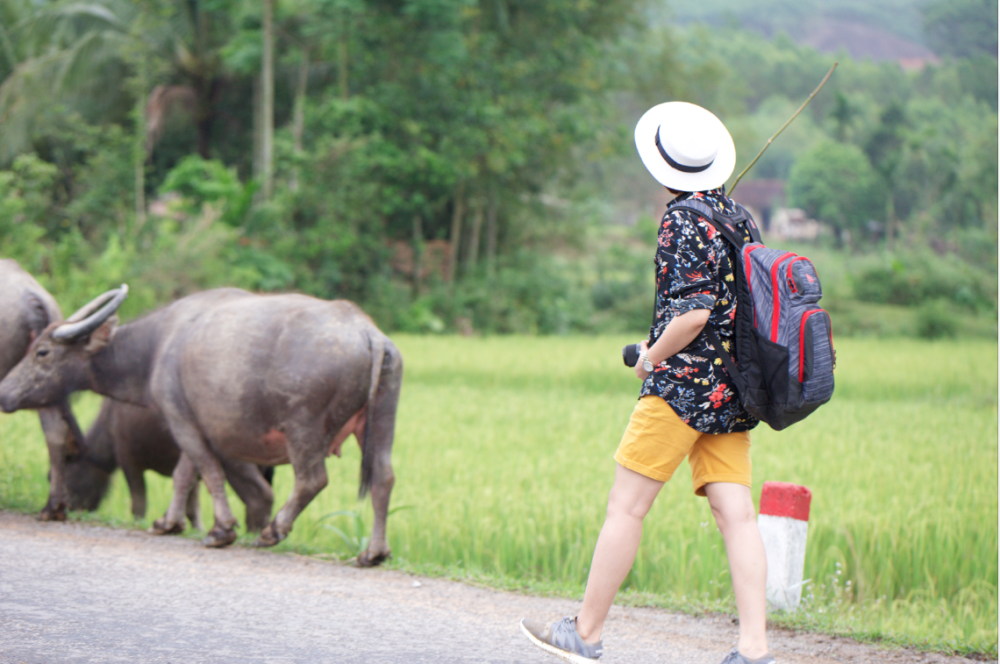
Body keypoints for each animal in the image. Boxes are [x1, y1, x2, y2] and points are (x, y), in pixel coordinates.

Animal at [67, 396, 276, 532]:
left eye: (71, 471)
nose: (69, 507)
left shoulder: (128, 461)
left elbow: (139, 503)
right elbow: (191, 505)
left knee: (259, 496)